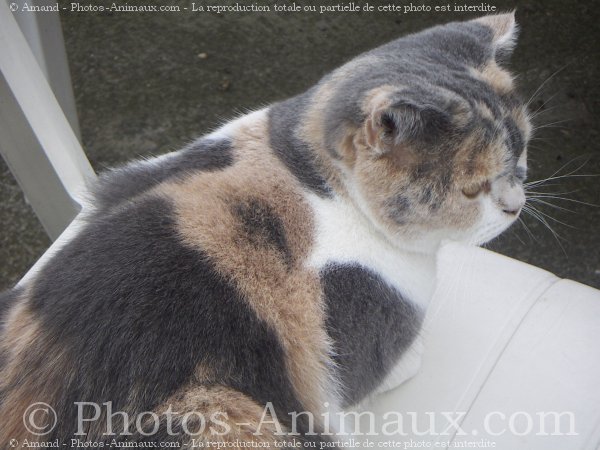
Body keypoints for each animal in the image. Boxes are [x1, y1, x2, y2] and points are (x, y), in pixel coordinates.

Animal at [0, 12, 528, 448]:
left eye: (522, 157)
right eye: (472, 189)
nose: (516, 206)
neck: (302, 172)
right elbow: (373, 377)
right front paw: (411, 358)